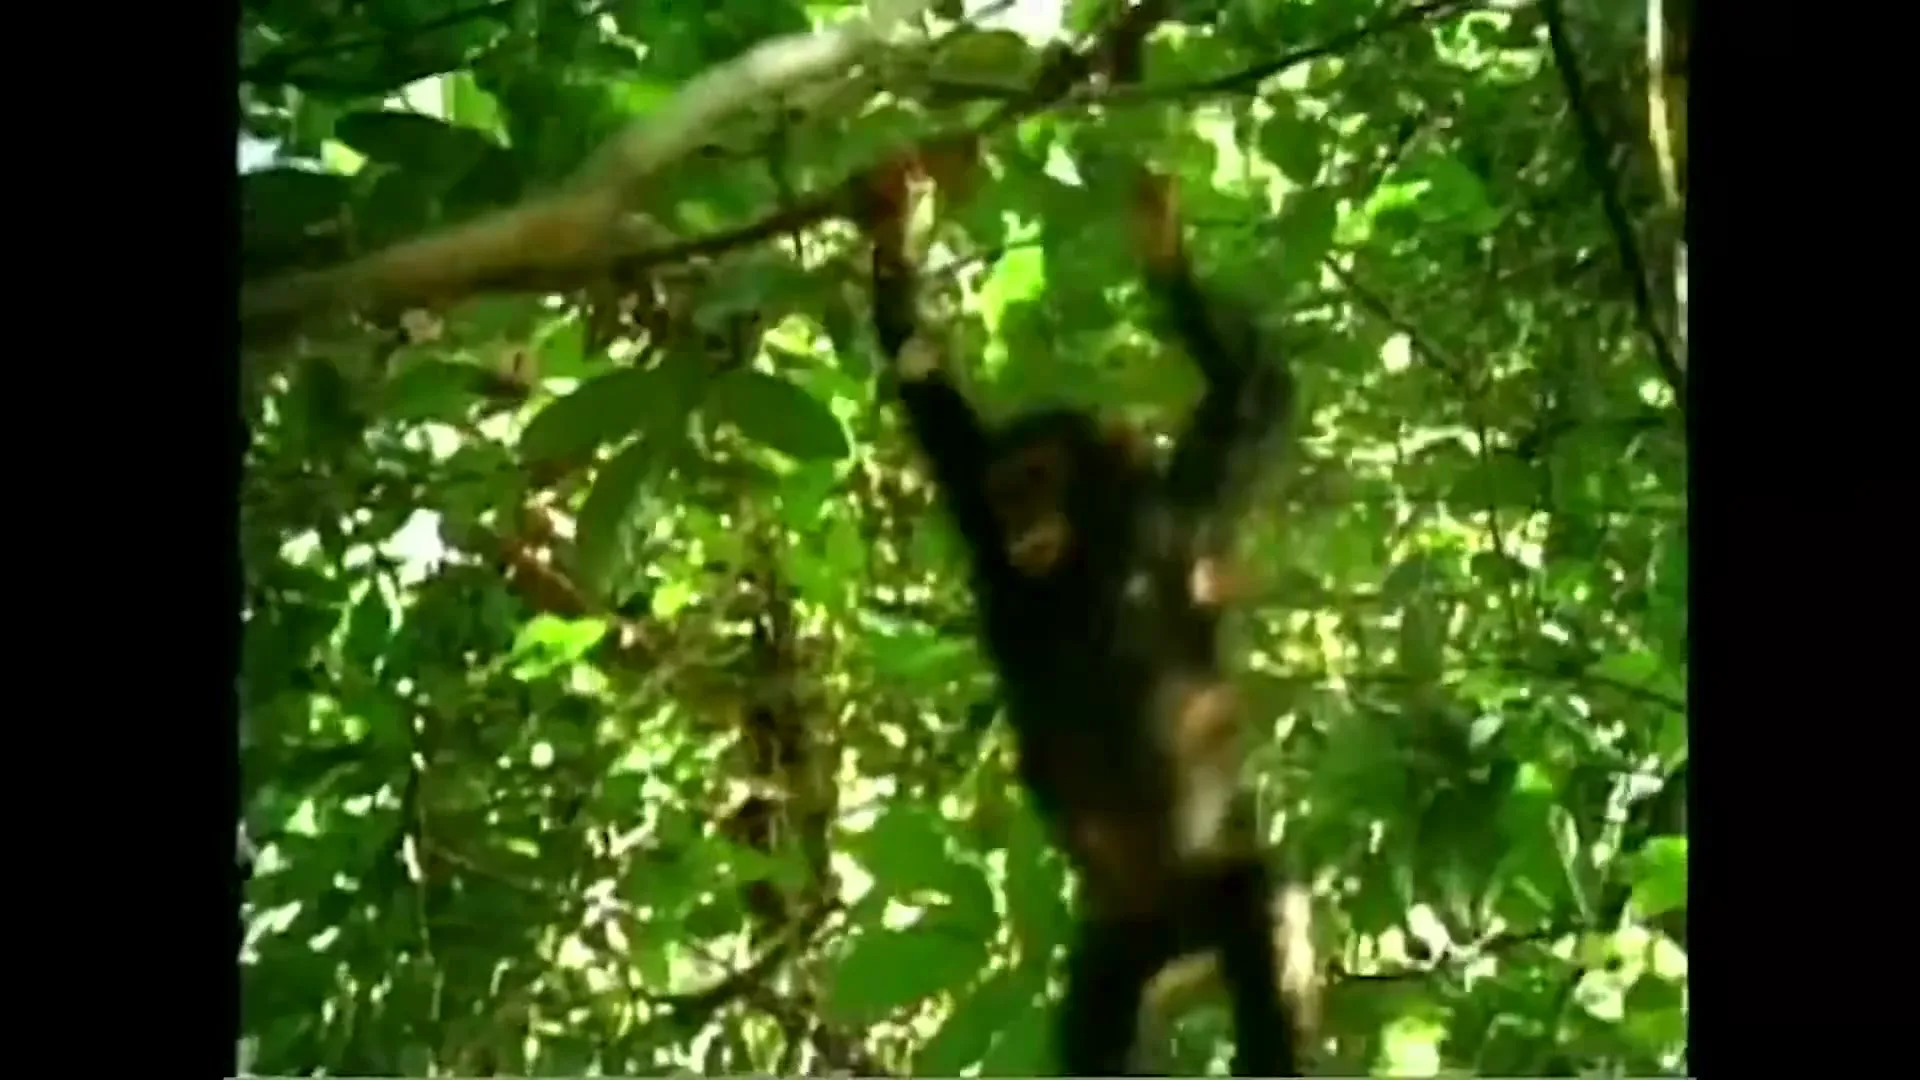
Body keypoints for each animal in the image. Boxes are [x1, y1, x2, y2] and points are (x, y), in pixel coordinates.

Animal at [860, 152, 1301, 1076]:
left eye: (1039, 478)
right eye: (1006, 490)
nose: (1021, 520)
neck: (1088, 564)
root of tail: (1175, 935)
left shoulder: (1187, 519)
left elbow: (1257, 399)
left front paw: (1165, 255)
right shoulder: (970, 495)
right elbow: (927, 390)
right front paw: (892, 229)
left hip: (1206, 891)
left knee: (1264, 901)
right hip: (1113, 949)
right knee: (1093, 1029)